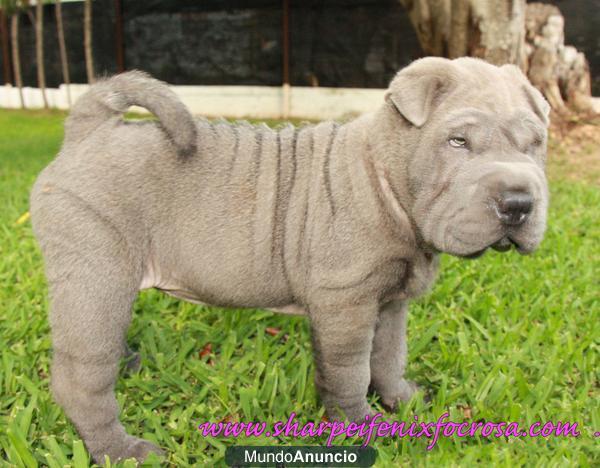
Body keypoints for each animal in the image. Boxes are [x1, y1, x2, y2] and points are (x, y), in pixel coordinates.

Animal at [31, 56, 548, 462]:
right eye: (458, 142)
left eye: (535, 144)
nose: (519, 203)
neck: (387, 177)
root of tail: (89, 130)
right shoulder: (346, 303)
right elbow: (351, 370)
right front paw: (360, 427)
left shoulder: (391, 301)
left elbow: (388, 355)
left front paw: (401, 400)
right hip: (97, 273)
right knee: (82, 376)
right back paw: (121, 450)